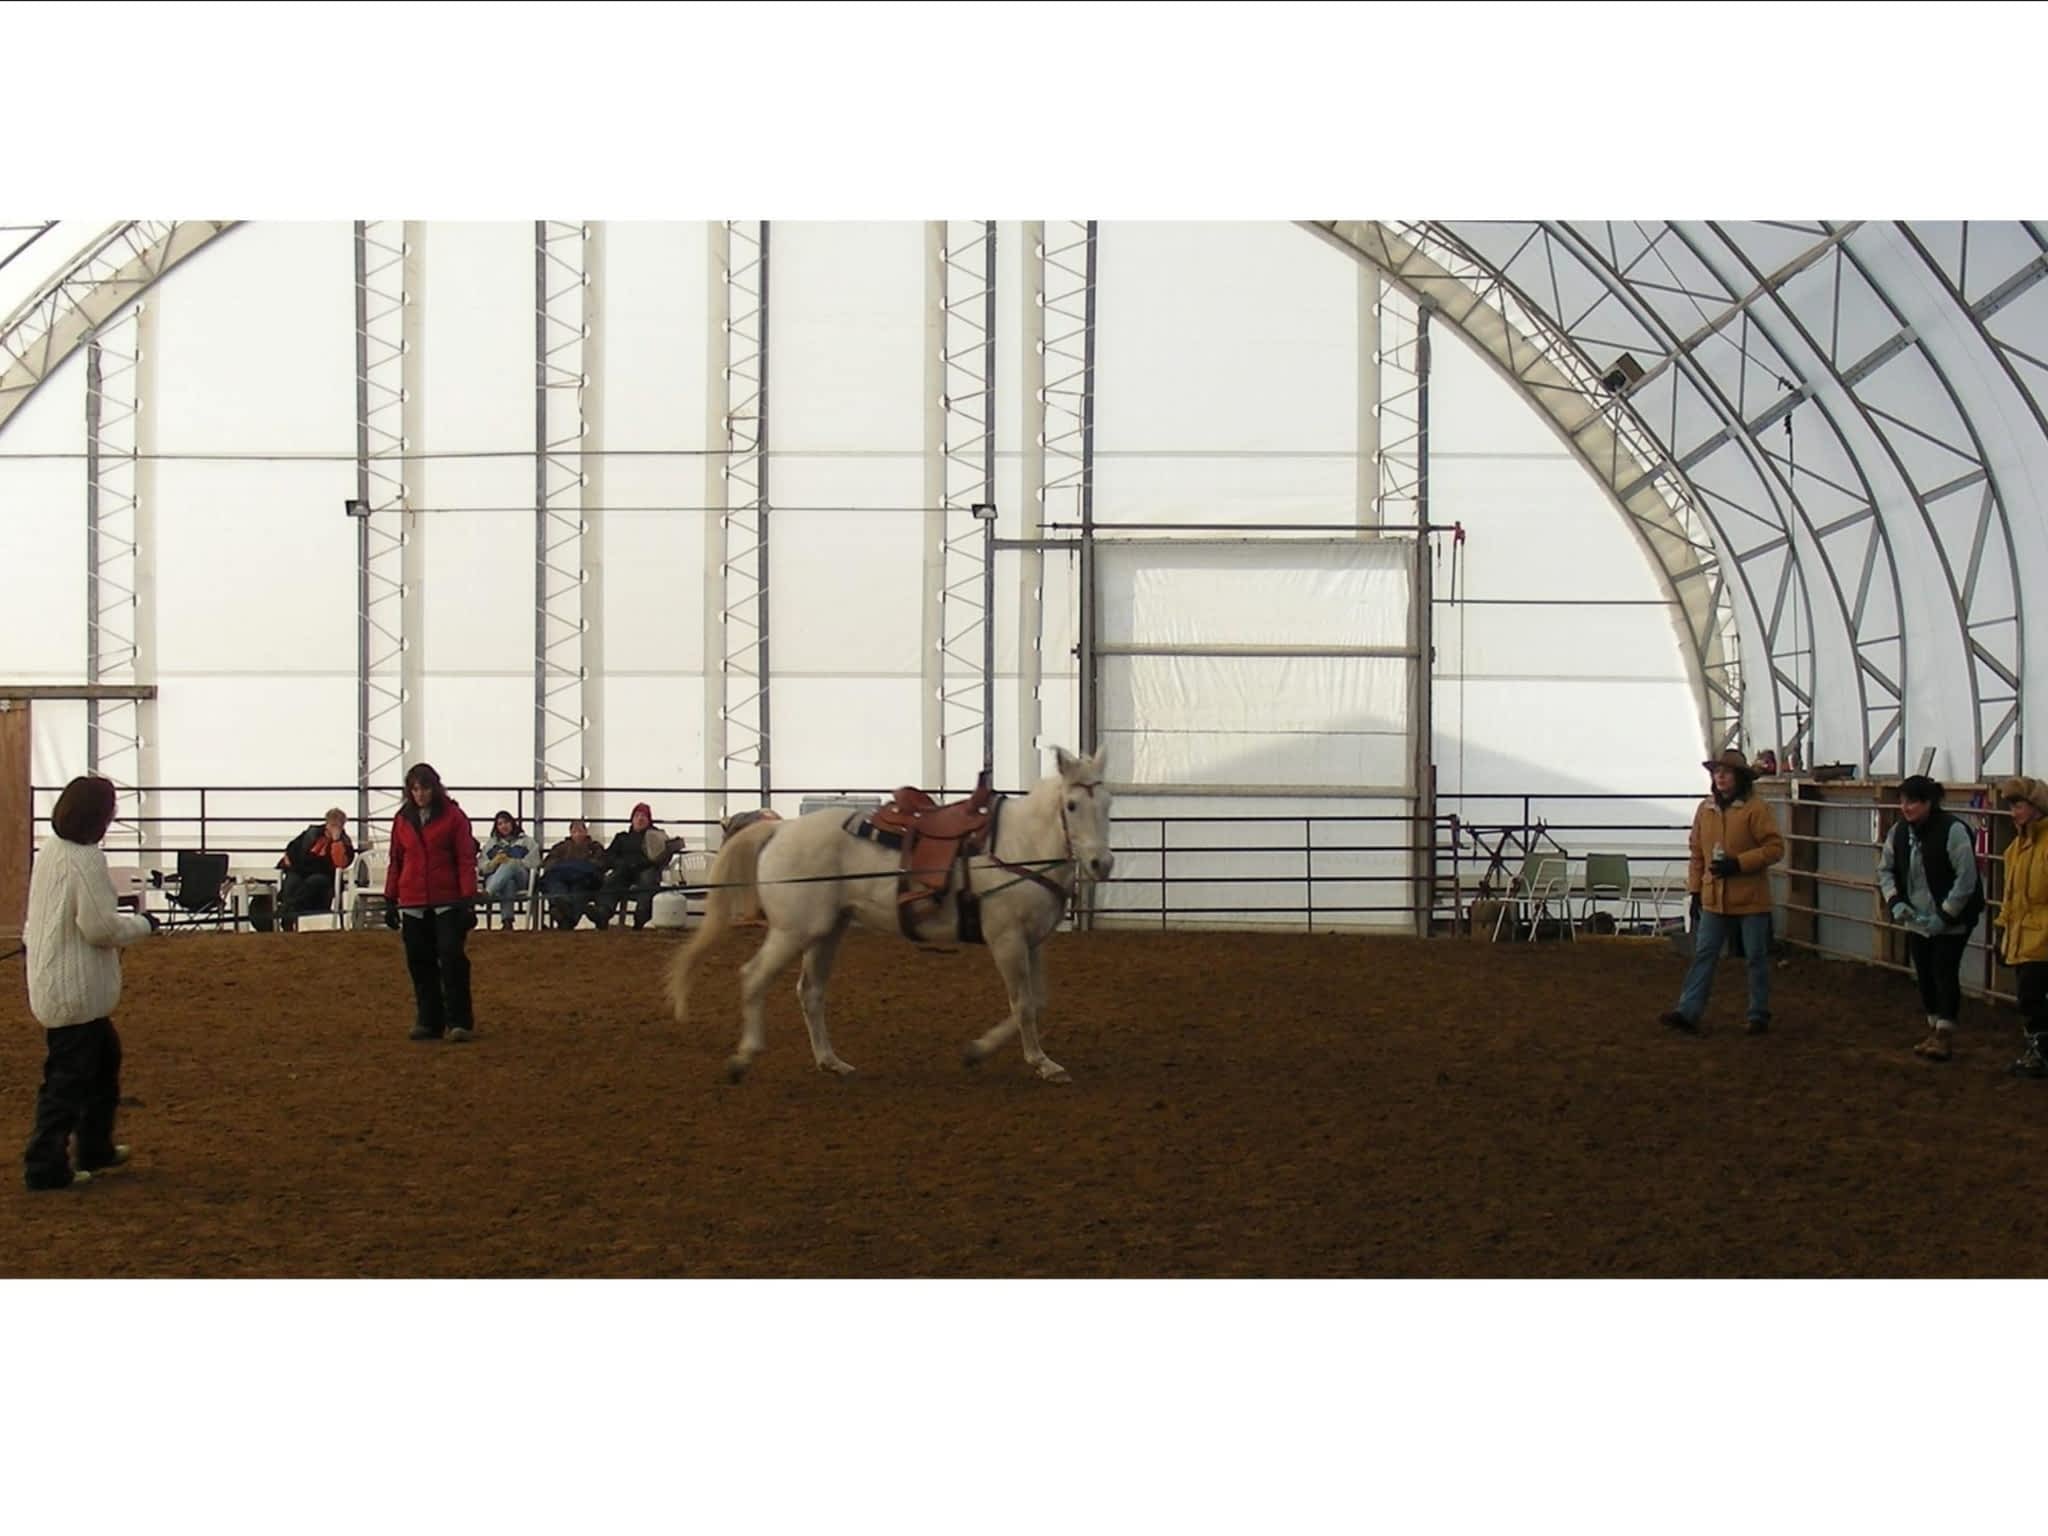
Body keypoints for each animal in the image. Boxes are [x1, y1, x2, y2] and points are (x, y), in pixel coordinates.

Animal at [666, 745, 1115, 1083]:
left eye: (1108, 803)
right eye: (1072, 805)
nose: (1102, 864)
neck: (1021, 845)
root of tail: (781, 829)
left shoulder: (1033, 941)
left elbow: (1036, 1000)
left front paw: (988, 1052)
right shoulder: (1006, 938)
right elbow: (1021, 1003)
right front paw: (1033, 1062)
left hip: (827, 931)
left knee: (810, 991)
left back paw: (831, 1061)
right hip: (793, 931)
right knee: (754, 977)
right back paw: (743, 1059)